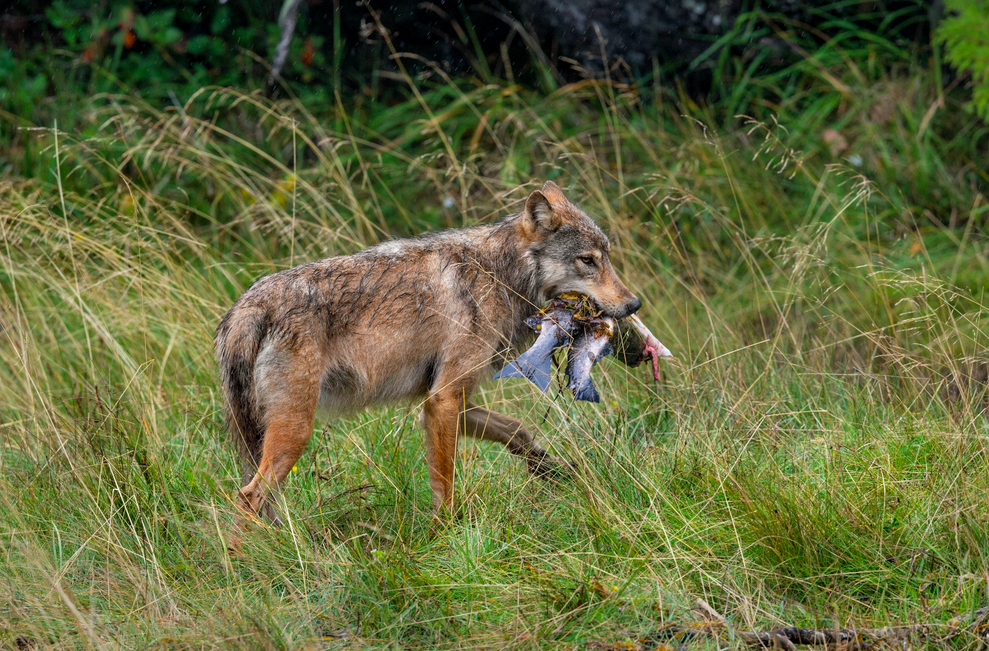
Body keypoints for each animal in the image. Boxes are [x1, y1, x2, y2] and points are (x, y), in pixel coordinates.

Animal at [215, 181, 640, 524]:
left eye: (606, 257)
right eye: (587, 260)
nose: (634, 304)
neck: (500, 274)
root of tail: (247, 307)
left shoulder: (444, 400)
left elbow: (517, 430)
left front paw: (552, 471)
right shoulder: (444, 400)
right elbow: (445, 484)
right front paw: (445, 534)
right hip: (296, 432)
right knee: (248, 497)